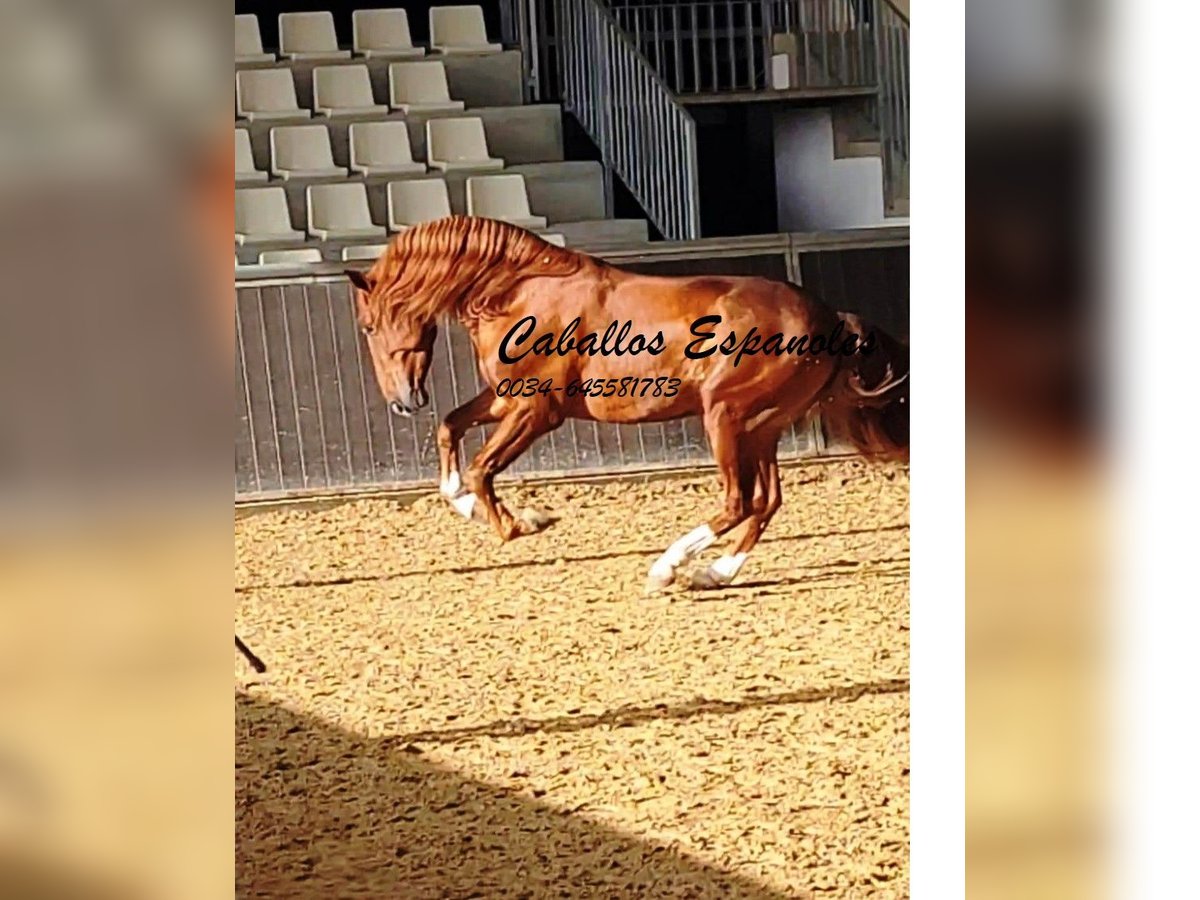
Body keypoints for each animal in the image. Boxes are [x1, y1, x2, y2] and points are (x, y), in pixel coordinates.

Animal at [343, 213, 902, 588]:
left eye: (368, 326)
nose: (403, 401)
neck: (518, 293)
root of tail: (828, 317)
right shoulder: (506, 399)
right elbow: (450, 428)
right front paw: (474, 508)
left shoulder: (536, 410)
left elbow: (482, 468)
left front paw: (519, 525)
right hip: (761, 426)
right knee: (765, 502)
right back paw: (715, 573)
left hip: (726, 417)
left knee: (738, 501)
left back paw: (667, 567)